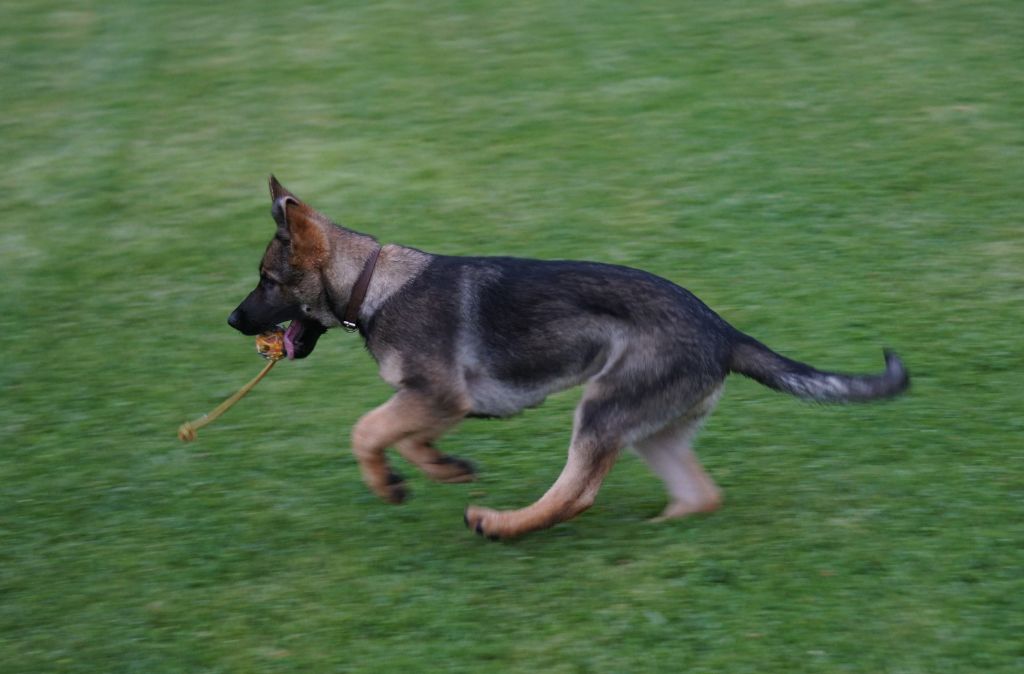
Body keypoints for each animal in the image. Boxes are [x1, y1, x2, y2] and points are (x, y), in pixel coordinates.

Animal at [228, 176, 909, 536]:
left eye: (267, 280)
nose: (231, 320)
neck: (374, 283)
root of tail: (724, 330)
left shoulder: (438, 395)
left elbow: (365, 430)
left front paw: (388, 483)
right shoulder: (441, 402)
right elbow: (409, 436)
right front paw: (443, 468)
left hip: (602, 408)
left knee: (576, 494)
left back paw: (501, 524)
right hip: (647, 430)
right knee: (698, 493)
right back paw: (661, 528)